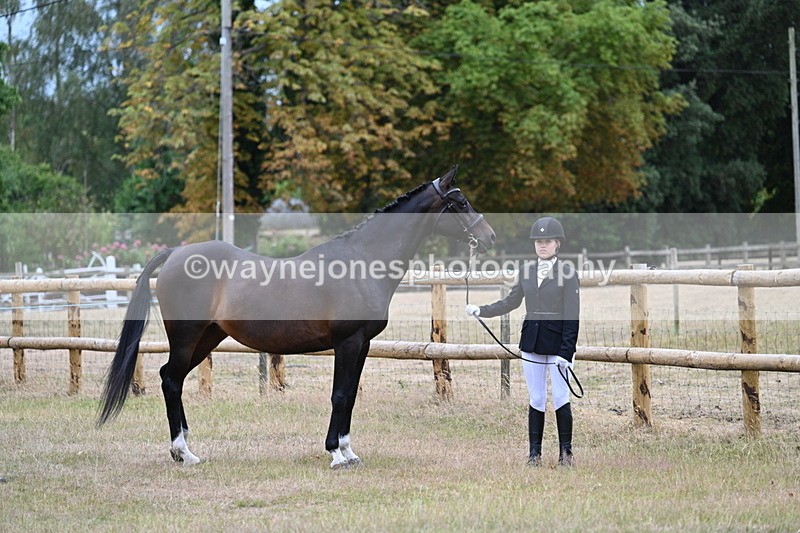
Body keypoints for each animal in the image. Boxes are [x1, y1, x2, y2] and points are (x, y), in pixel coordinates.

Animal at [97, 166, 496, 468]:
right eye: (460, 202)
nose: (489, 237)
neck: (363, 261)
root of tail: (176, 254)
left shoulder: (362, 345)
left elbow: (350, 395)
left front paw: (348, 451)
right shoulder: (347, 343)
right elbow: (339, 395)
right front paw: (336, 454)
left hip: (207, 337)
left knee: (173, 379)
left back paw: (184, 451)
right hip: (186, 337)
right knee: (170, 380)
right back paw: (183, 453)